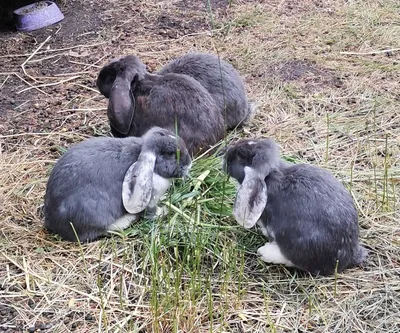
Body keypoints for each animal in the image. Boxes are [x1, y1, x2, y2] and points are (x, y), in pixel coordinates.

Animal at [43, 127, 192, 241]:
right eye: (170, 153)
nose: (189, 163)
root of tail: (52, 220)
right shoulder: (150, 201)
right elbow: (151, 213)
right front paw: (164, 211)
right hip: (92, 213)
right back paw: (128, 220)